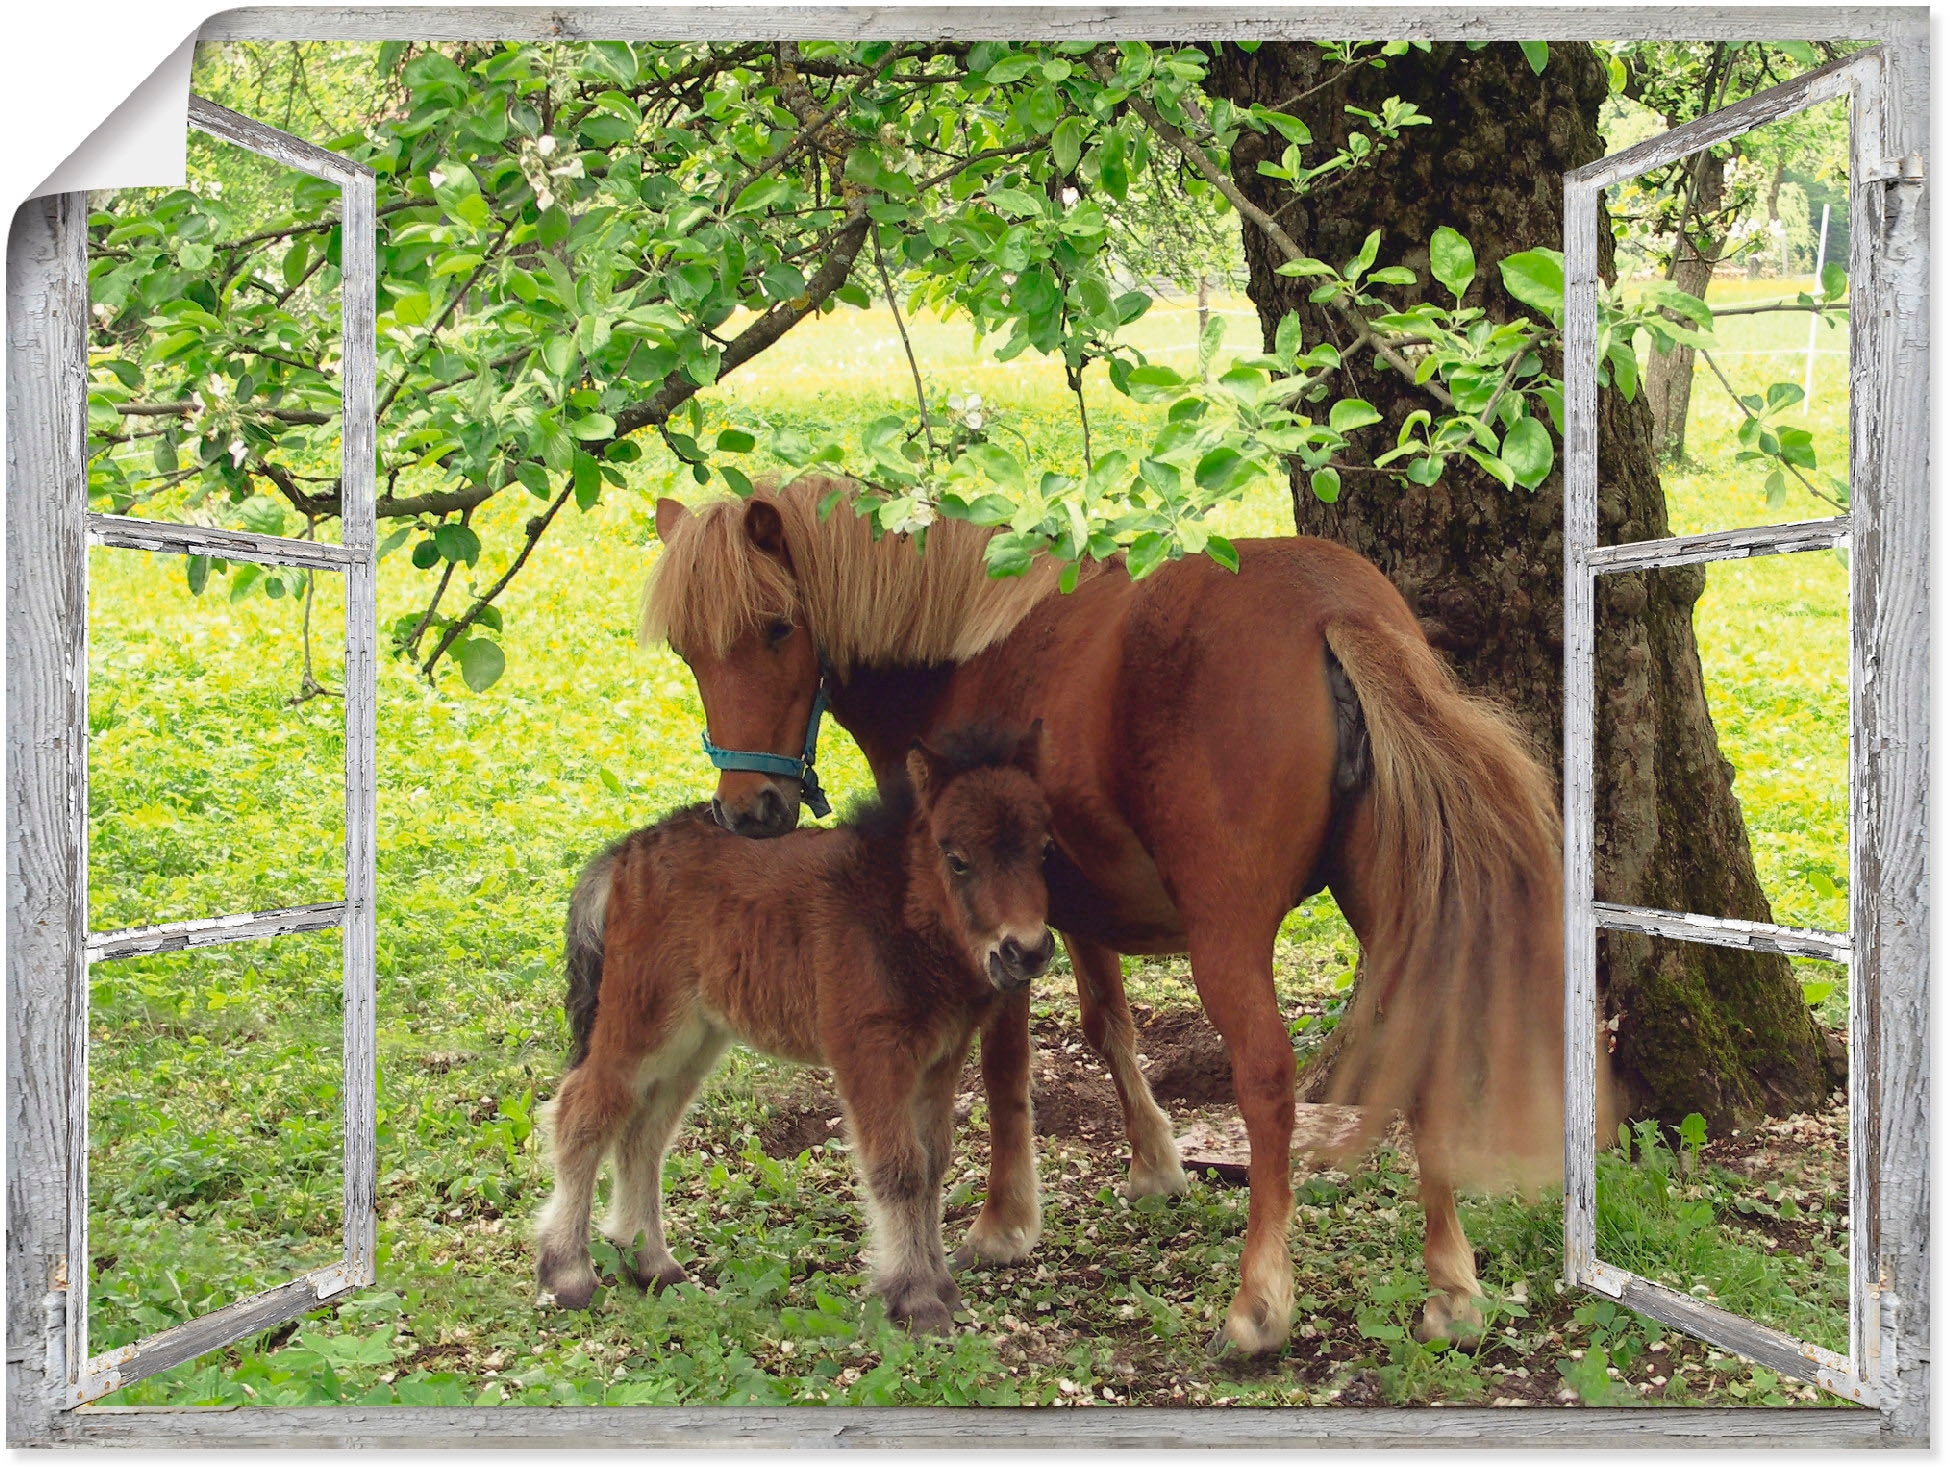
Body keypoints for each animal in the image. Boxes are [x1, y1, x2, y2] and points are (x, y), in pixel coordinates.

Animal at [530, 722, 1054, 1327]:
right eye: (957, 859)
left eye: (1045, 850)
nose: (1027, 951)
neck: (895, 909)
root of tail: (626, 852)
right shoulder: (868, 1052)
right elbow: (899, 1168)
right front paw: (915, 1300)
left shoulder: (940, 1059)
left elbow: (932, 1165)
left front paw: (941, 1287)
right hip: (643, 1022)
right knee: (583, 1111)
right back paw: (568, 1273)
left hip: (695, 1039)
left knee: (645, 1131)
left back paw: (651, 1264)